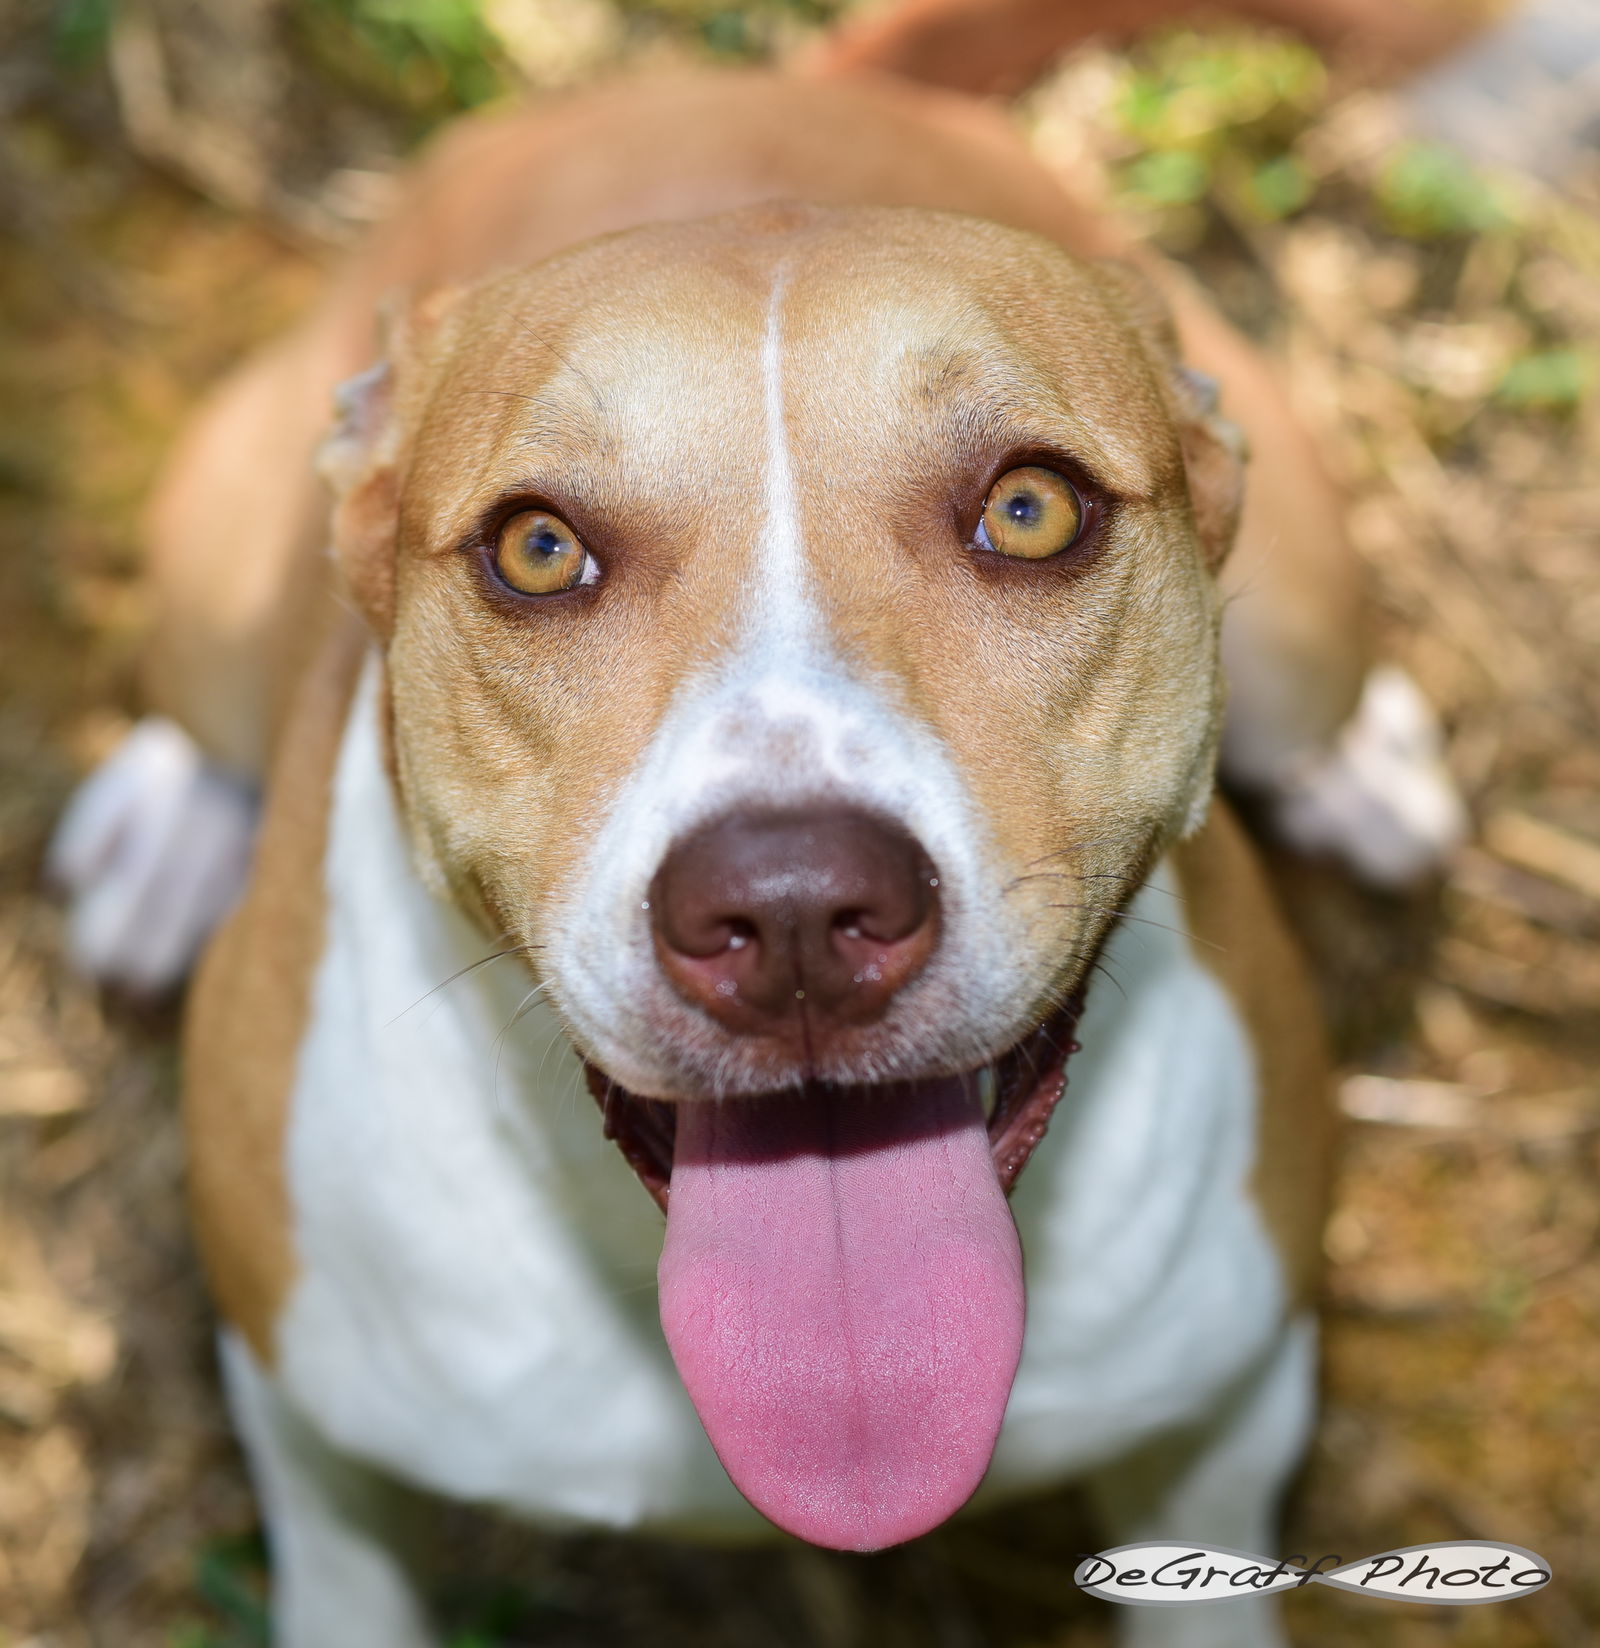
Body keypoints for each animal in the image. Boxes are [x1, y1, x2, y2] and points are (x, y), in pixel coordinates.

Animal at [53, 25, 1463, 1648]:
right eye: (537, 547)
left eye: (1030, 510)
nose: (793, 911)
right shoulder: (306, 1419)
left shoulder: (1230, 1405)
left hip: (1301, 605)